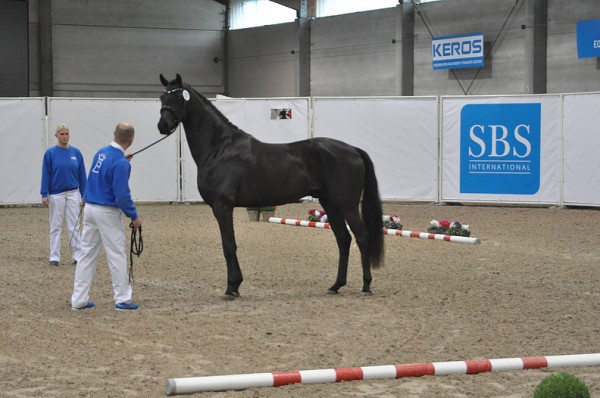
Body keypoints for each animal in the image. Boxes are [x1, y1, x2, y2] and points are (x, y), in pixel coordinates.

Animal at [157, 74, 384, 298]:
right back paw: (336, 285)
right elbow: (229, 244)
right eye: (162, 98)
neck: (220, 148)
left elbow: (228, 245)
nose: (163, 125)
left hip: (347, 205)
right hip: (330, 203)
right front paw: (235, 285)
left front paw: (232, 287)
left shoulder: (223, 206)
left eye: (178, 98)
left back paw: (366, 285)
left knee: (361, 238)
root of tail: (353, 149)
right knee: (343, 239)